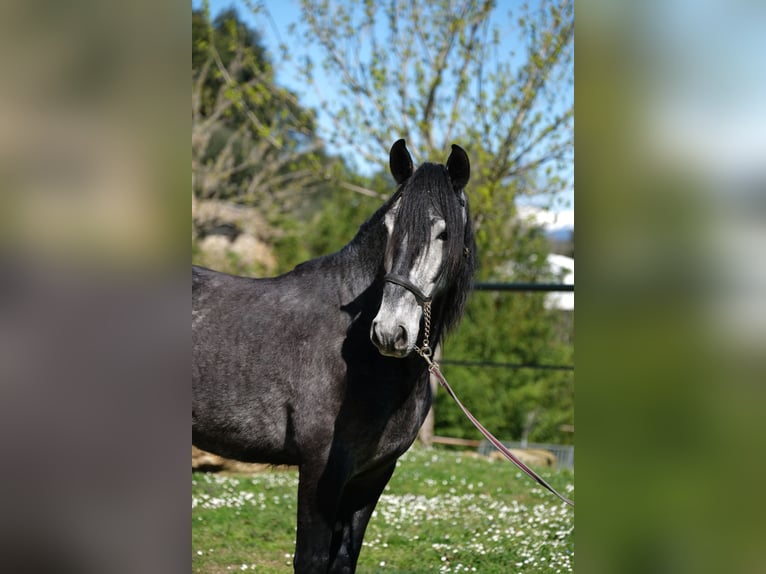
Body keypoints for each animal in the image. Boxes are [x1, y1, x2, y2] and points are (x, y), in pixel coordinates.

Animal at [192, 139, 477, 573]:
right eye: (388, 228)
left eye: (443, 232)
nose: (390, 331)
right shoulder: (321, 469)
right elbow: (310, 559)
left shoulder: (372, 474)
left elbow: (344, 559)